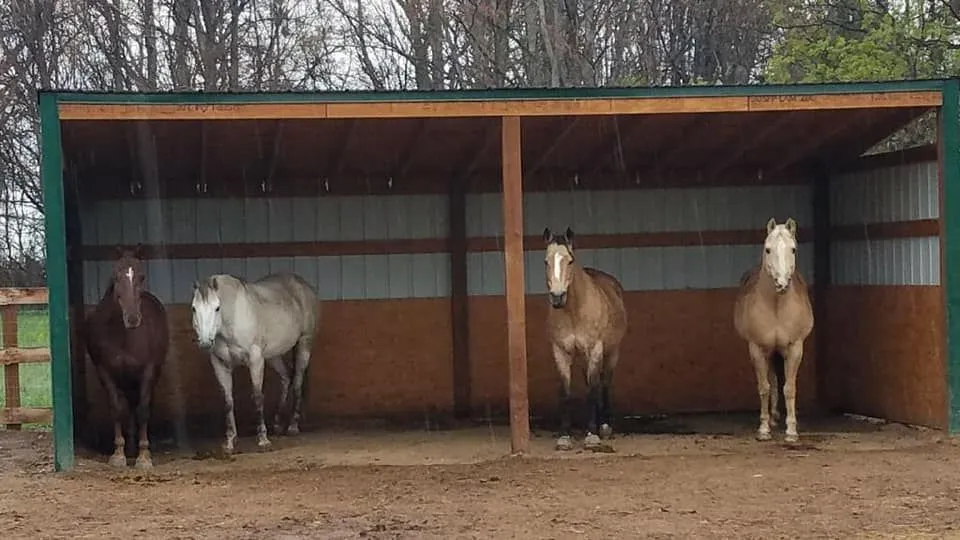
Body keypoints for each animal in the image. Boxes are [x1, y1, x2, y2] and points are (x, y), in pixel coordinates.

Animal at [84, 245, 170, 469]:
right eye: (116, 276)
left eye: (141, 276)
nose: (132, 318)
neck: (122, 334)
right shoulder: (105, 371)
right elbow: (116, 408)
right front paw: (118, 454)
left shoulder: (148, 371)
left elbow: (143, 409)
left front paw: (144, 456)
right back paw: (130, 448)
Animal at [191, 272, 319, 454]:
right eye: (194, 308)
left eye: (217, 308)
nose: (204, 343)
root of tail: (302, 284)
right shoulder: (220, 364)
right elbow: (227, 401)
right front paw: (230, 442)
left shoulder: (256, 360)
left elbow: (258, 397)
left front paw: (263, 440)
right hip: (273, 355)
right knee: (286, 378)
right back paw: (277, 423)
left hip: (304, 343)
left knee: (297, 383)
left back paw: (293, 426)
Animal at [543, 227, 628, 451]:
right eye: (546, 261)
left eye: (570, 261)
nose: (557, 297)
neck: (574, 311)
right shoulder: (560, 352)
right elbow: (566, 392)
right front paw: (564, 436)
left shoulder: (596, 350)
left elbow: (593, 389)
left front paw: (592, 435)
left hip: (612, 352)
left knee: (603, 383)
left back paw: (604, 426)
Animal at [733, 218, 814, 443]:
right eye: (768, 249)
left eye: (793, 249)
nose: (782, 284)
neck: (777, 306)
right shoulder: (757, 349)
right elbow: (764, 388)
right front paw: (763, 429)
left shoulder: (795, 348)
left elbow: (790, 388)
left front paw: (792, 431)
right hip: (769, 352)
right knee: (771, 379)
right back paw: (772, 418)